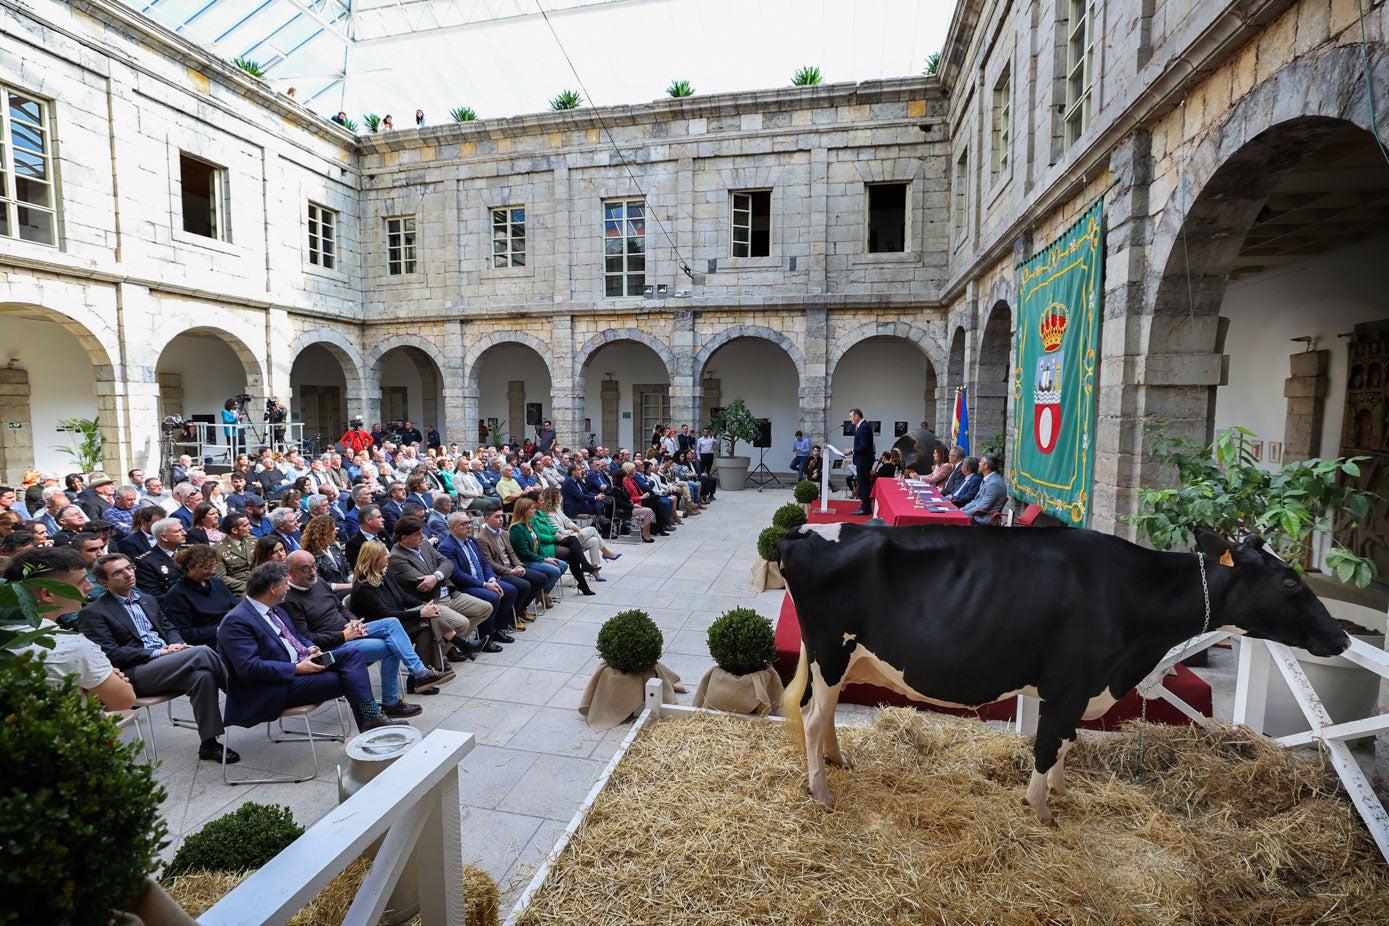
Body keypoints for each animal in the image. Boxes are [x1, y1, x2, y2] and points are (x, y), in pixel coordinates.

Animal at [788, 524, 1350, 821]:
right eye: (1290, 582)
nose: (1342, 637)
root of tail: (804, 532)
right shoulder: (1068, 685)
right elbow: (1047, 744)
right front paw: (1040, 810)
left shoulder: (1084, 689)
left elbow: (1068, 743)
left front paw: (1061, 793)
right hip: (831, 651)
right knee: (813, 718)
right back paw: (821, 790)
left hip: (837, 660)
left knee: (823, 712)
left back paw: (838, 763)